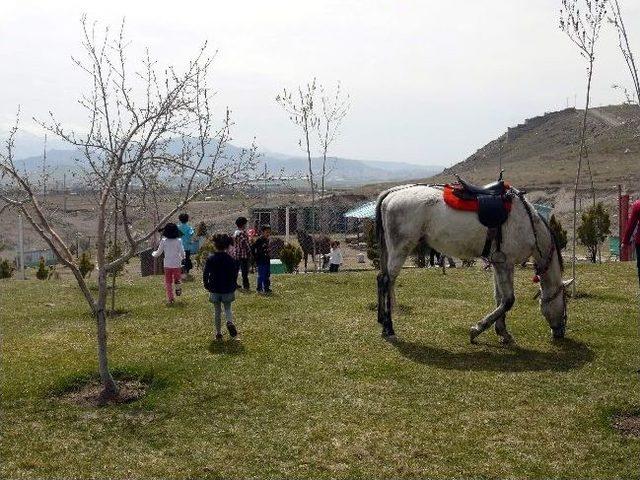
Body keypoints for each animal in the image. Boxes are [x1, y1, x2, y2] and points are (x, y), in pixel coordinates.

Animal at [378, 182, 568, 344]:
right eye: (565, 302)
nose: (560, 332)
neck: (528, 224)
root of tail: (390, 194)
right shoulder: (505, 264)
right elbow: (508, 301)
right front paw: (478, 329)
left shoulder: (499, 264)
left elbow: (499, 298)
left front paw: (502, 332)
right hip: (400, 248)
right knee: (387, 280)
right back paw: (389, 329)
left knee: (381, 278)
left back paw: (382, 322)